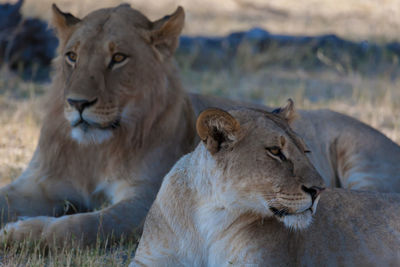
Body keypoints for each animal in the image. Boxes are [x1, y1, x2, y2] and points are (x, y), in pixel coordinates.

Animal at [0, 3, 400, 248]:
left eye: (118, 58)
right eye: (71, 56)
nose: (77, 103)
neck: (94, 150)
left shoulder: (145, 200)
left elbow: (85, 224)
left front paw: (18, 233)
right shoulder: (38, 182)